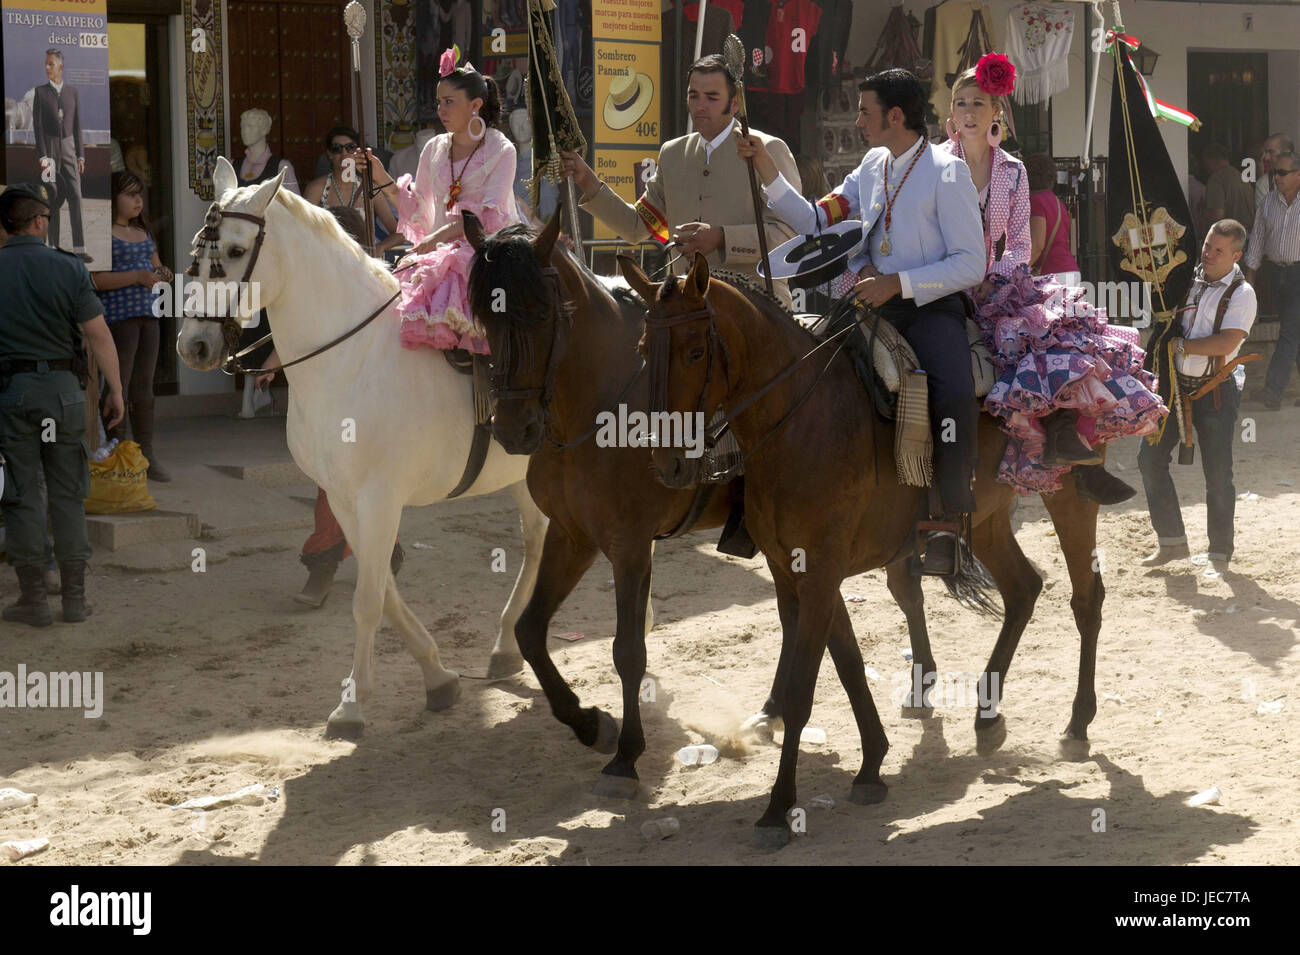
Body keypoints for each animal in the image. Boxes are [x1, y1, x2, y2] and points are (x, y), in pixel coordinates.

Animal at [175, 157, 546, 738]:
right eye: (196, 250)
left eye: (234, 252)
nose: (194, 345)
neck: (352, 356)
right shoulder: (346, 500)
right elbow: (385, 596)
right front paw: (438, 677)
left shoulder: (380, 499)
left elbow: (368, 601)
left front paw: (351, 707)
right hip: (526, 474)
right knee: (537, 538)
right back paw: (508, 644)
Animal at [621, 250, 1107, 847]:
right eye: (644, 349)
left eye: (695, 351)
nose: (666, 462)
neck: (803, 422)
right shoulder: (792, 570)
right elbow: (848, 663)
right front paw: (872, 765)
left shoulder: (821, 571)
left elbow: (805, 689)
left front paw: (778, 809)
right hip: (990, 515)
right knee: (1023, 588)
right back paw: (987, 718)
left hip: (1069, 495)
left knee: (1086, 598)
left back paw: (1077, 724)